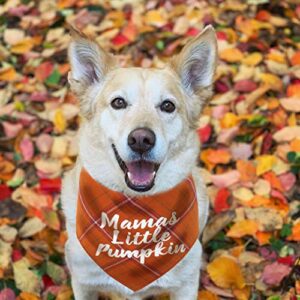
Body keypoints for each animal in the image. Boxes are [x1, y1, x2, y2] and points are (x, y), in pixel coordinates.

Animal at [62, 24, 218, 300]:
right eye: (118, 102)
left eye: (168, 106)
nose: (141, 140)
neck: (135, 209)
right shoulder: (83, 282)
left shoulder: (186, 284)